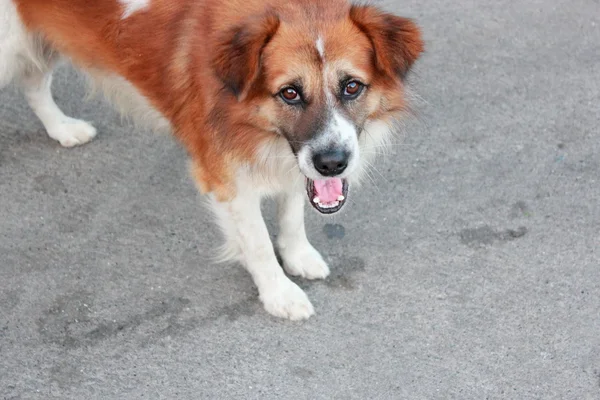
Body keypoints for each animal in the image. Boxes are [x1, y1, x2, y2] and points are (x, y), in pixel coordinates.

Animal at [0, 0, 424, 318]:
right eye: (289, 93)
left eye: (352, 86)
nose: (332, 163)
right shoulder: (227, 178)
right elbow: (256, 242)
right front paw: (278, 292)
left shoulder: (291, 161)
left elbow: (291, 211)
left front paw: (298, 255)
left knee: (34, 83)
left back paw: (62, 128)